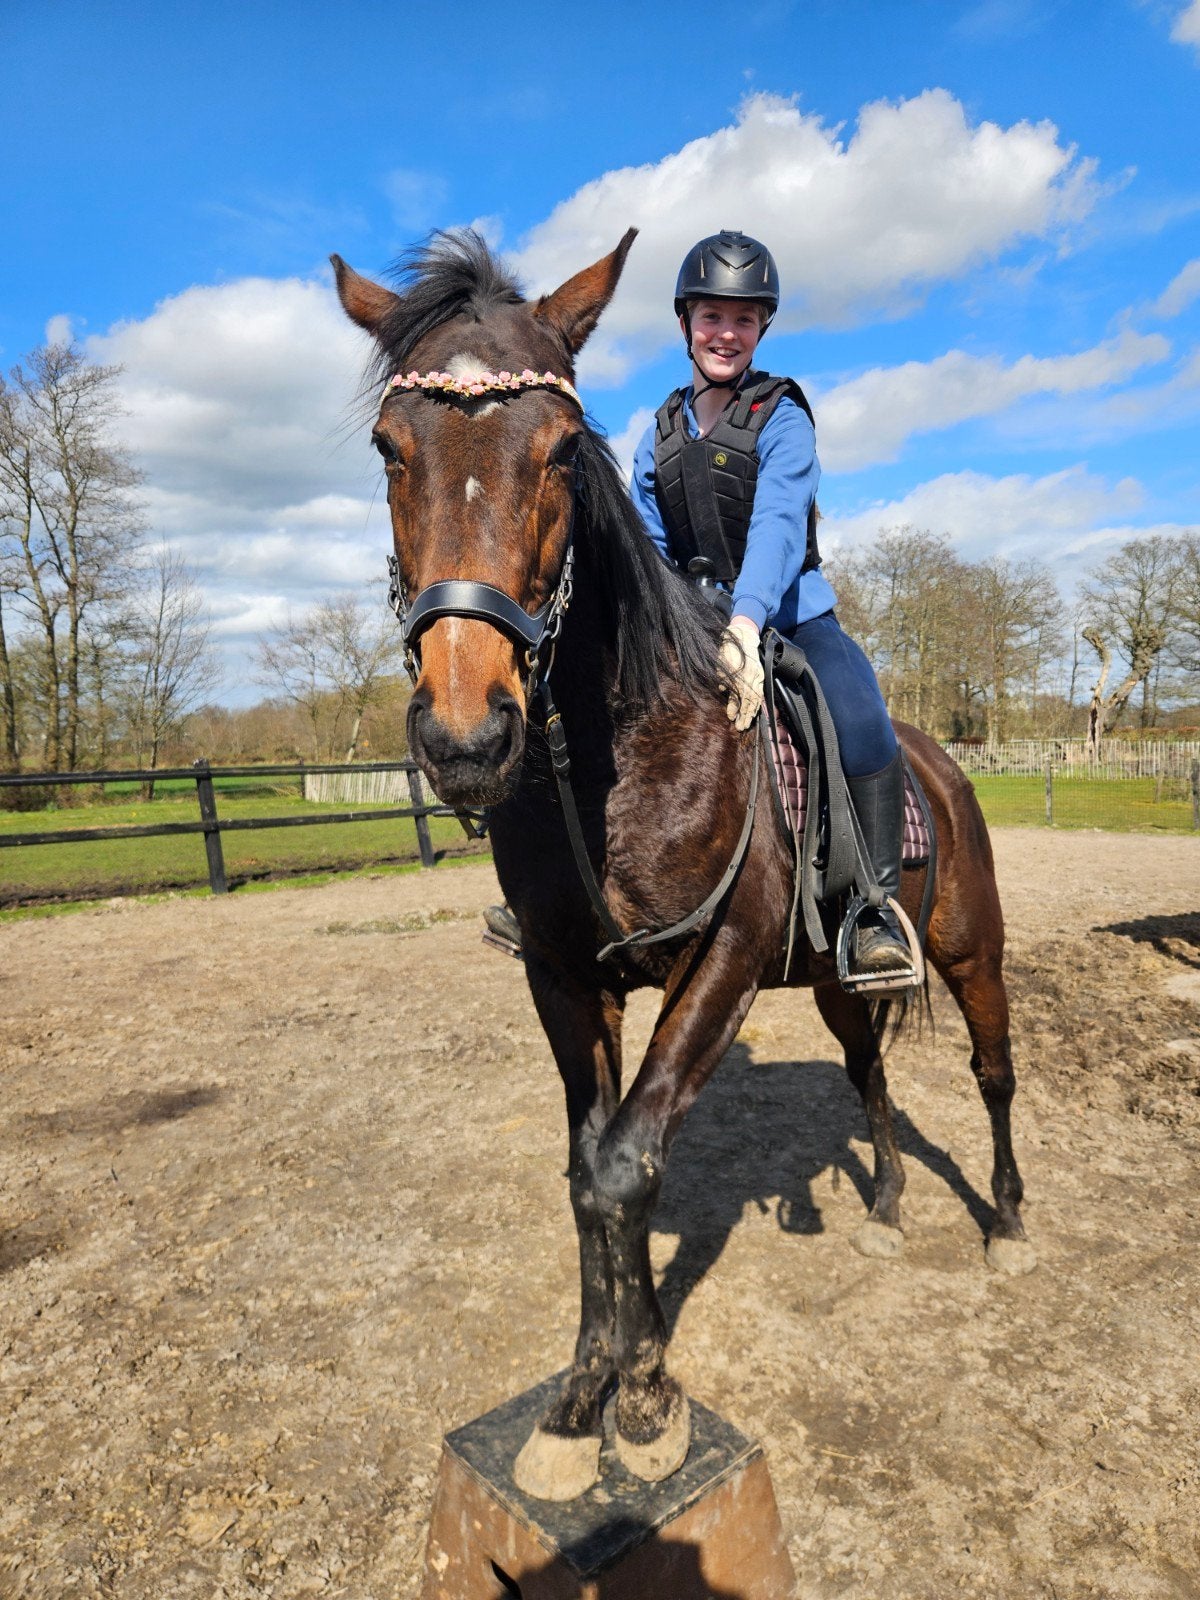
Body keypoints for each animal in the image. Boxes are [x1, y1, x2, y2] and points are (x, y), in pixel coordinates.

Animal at [332, 228, 1036, 1503]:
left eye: (563, 451)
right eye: (389, 448)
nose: (466, 735)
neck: (616, 756)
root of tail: (942, 765)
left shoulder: (720, 964)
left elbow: (628, 1167)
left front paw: (648, 1397)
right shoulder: (567, 981)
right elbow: (586, 1171)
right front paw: (580, 1402)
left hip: (974, 957)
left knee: (995, 1073)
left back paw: (1004, 1222)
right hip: (838, 982)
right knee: (869, 1075)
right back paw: (888, 1202)